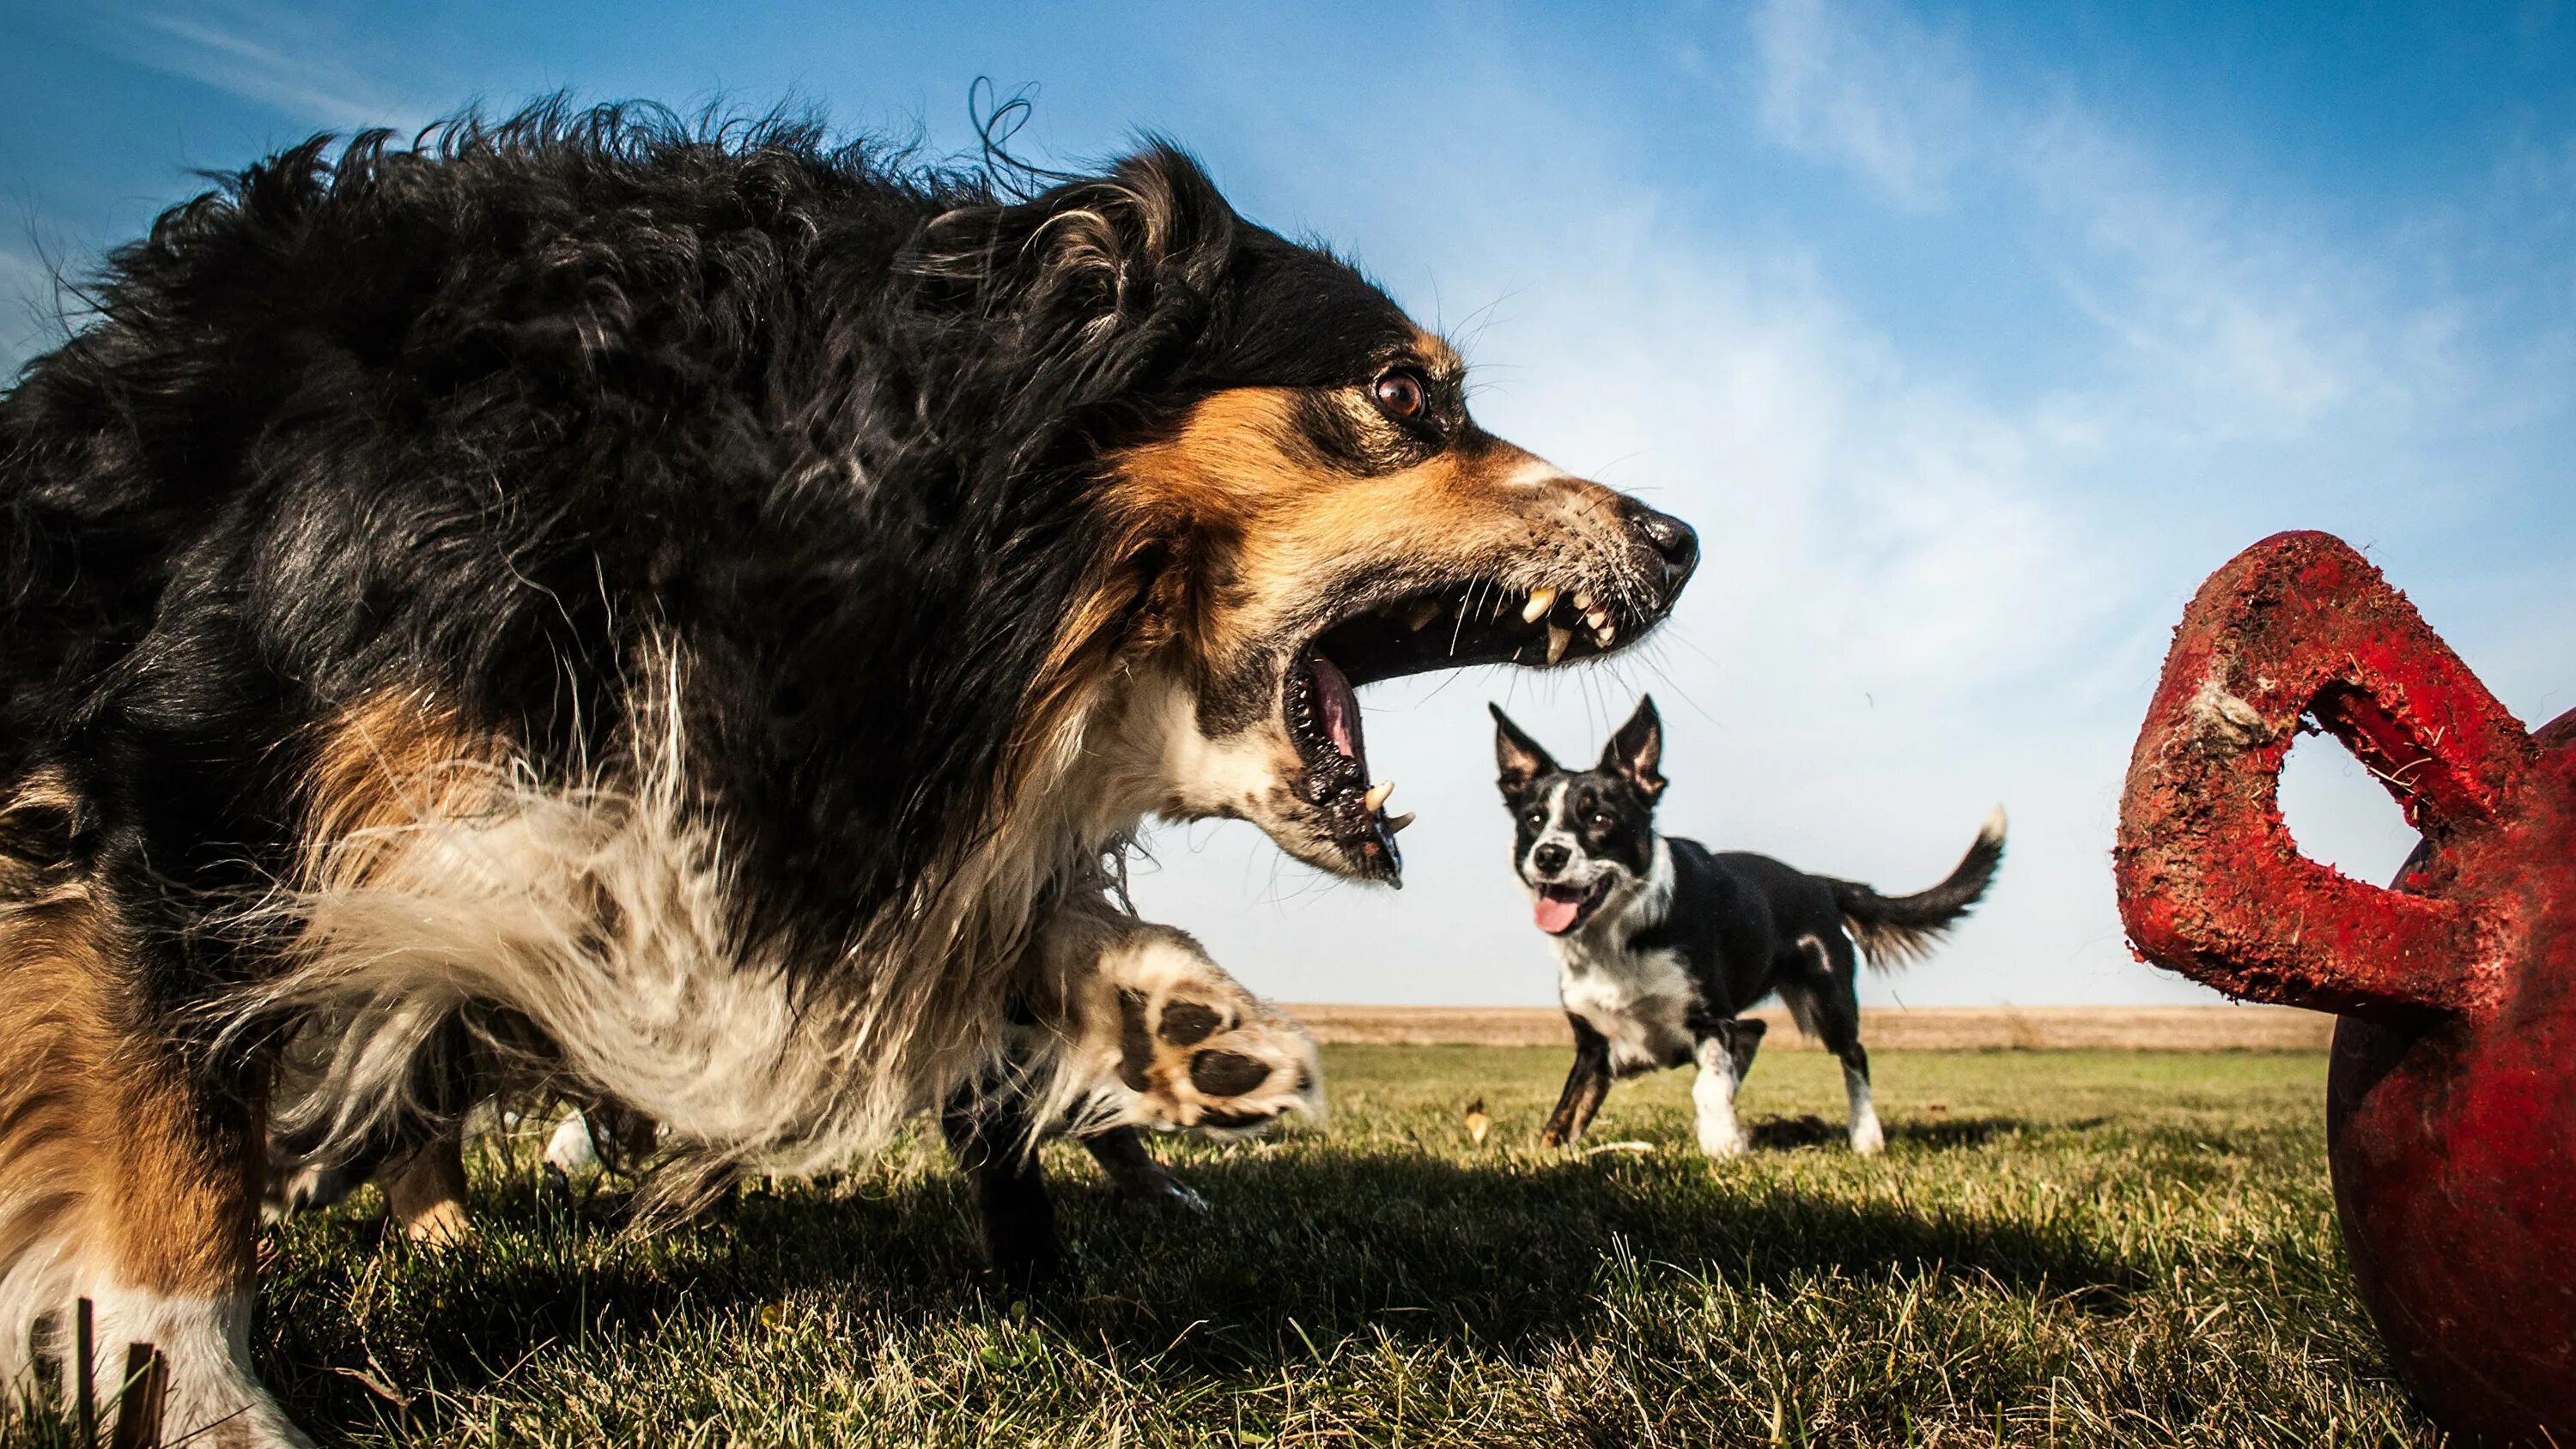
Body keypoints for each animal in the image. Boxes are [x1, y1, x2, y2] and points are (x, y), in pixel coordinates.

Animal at [0, 105, 1700, 1449]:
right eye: (1406, 395)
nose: (1683, 538)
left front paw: (1166, 1023)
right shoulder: (182, 779)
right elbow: (175, 1149)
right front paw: (198, 1400)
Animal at [1494, 694, 2009, 1163]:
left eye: (1601, 818)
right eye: (1534, 820)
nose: (1549, 854)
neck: (1619, 937)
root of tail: (1818, 883)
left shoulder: (1711, 1018)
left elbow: (1709, 1085)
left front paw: (1722, 1143)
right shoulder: (1593, 1047)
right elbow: (1565, 1113)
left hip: (1828, 1000)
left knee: (1853, 1055)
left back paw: (1866, 1137)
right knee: (1756, 1029)